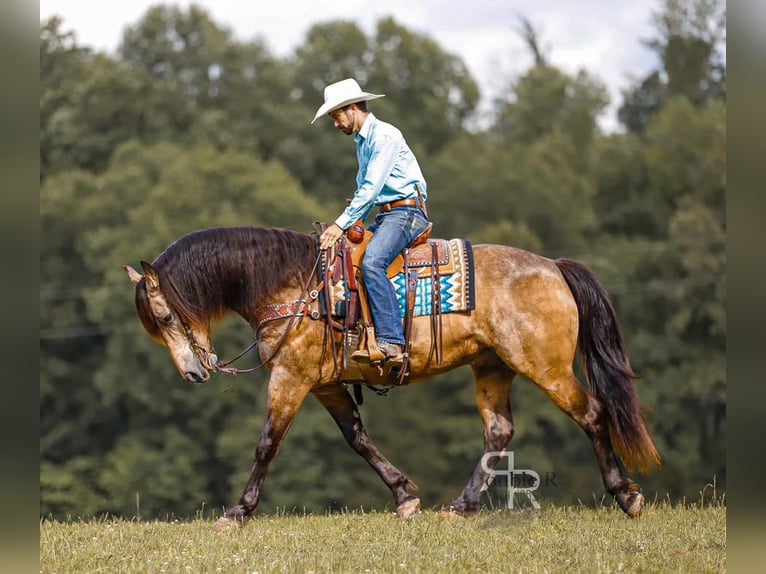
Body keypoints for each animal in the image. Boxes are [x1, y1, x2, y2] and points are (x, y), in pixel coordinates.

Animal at [124, 226, 660, 532]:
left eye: (165, 316)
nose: (194, 372)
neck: (294, 286)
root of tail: (552, 266)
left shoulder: (290, 379)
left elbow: (266, 445)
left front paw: (237, 512)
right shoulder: (325, 384)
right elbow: (358, 439)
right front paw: (404, 496)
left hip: (544, 367)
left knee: (593, 414)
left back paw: (627, 495)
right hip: (493, 367)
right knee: (499, 433)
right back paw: (461, 508)